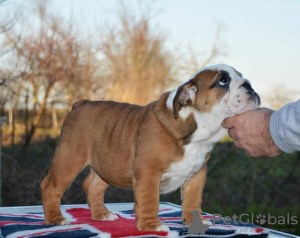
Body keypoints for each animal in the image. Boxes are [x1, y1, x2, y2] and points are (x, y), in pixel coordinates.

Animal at [41, 64, 260, 231]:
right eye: (223, 81)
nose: (249, 84)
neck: (195, 136)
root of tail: (80, 104)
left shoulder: (197, 175)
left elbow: (192, 201)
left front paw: (194, 221)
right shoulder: (148, 171)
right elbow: (149, 200)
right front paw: (151, 226)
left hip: (106, 164)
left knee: (92, 185)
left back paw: (102, 215)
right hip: (69, 158)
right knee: (50, 187)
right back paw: (56, 219)